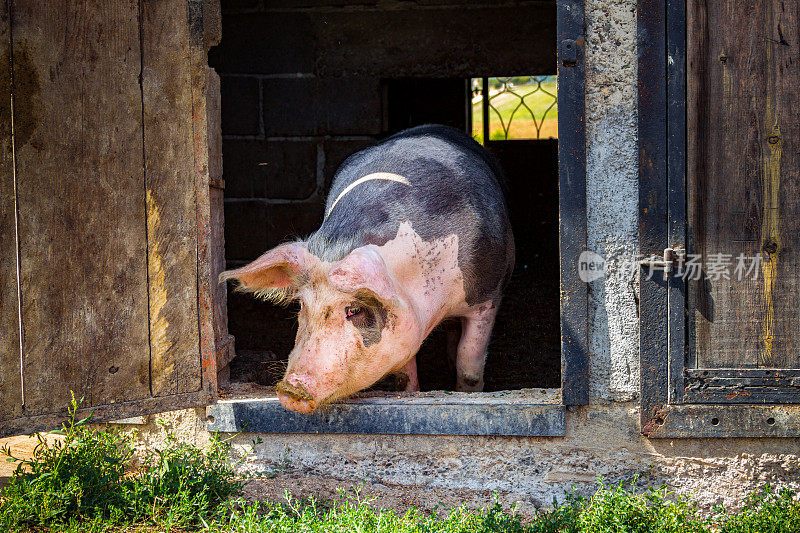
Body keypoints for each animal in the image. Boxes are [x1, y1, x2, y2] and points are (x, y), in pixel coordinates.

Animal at [222, 123, 516, 412]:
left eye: (354, 310)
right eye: (302, 305)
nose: (290, 391)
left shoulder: (488, 297)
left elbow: (469, 363)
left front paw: (466, 392)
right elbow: (404, 376)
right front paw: (410, 392)